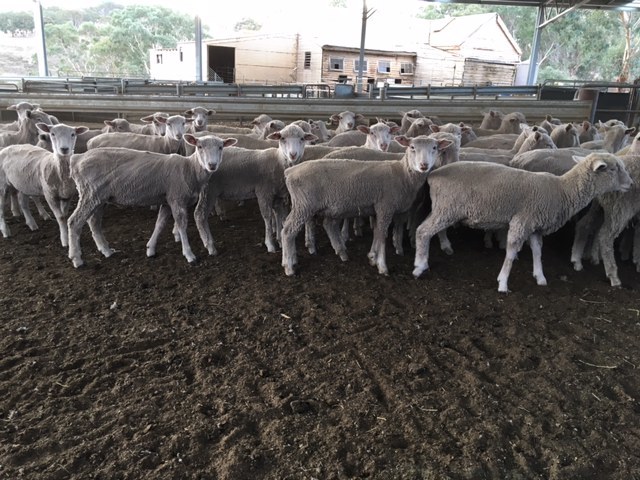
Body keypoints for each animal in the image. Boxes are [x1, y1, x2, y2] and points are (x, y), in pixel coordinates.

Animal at [66, 134, 236, 268]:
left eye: (221, 147)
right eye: (199, 146)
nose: (212, 165)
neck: (190, 169)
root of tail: (77, 159)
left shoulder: (167, 200)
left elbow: (159, 224)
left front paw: (151, 249)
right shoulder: (177, 198)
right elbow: (182, 225)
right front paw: (189, 255)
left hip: (99, 197)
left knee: (94, 222)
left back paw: (106, 251)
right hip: (90, 192)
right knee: (74, 222)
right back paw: (77, 259)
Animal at [193, 124, 317, 256]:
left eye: (302, 138)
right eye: (282, 138)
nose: (293, 154)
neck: (278, 161)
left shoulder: (278, 195)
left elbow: (279, 215)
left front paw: (279, 240)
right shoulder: (263, 192)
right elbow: (267, 217)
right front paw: (270, 244)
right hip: (208, 190)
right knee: (199, 215)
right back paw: (210, 246)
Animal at [280, 134, 452, 276]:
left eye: (434, 148)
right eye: (412, 147)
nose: (424, 165)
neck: (402, 173)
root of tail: (290, 172)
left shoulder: (377, 209)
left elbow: (376, 232)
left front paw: (372, 257)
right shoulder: (385, 206)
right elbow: (382, 235)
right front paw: (382, 266)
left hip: (313, 206)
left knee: (305, 226)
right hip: (304, 204)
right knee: (288, 230)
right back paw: (289, 266)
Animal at [412, 152, 632, 292]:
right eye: (613, 169)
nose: (631, 184)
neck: (561, 190)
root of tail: (433, 175)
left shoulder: (535, 225)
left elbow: (537, 250)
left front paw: (540, 277)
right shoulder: (522, 220)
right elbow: (511, 252)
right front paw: (503, 283)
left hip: (442, 208)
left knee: (429, 229)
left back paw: (433, 254)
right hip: (447, 208)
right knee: (423, 231)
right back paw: (420, 265)